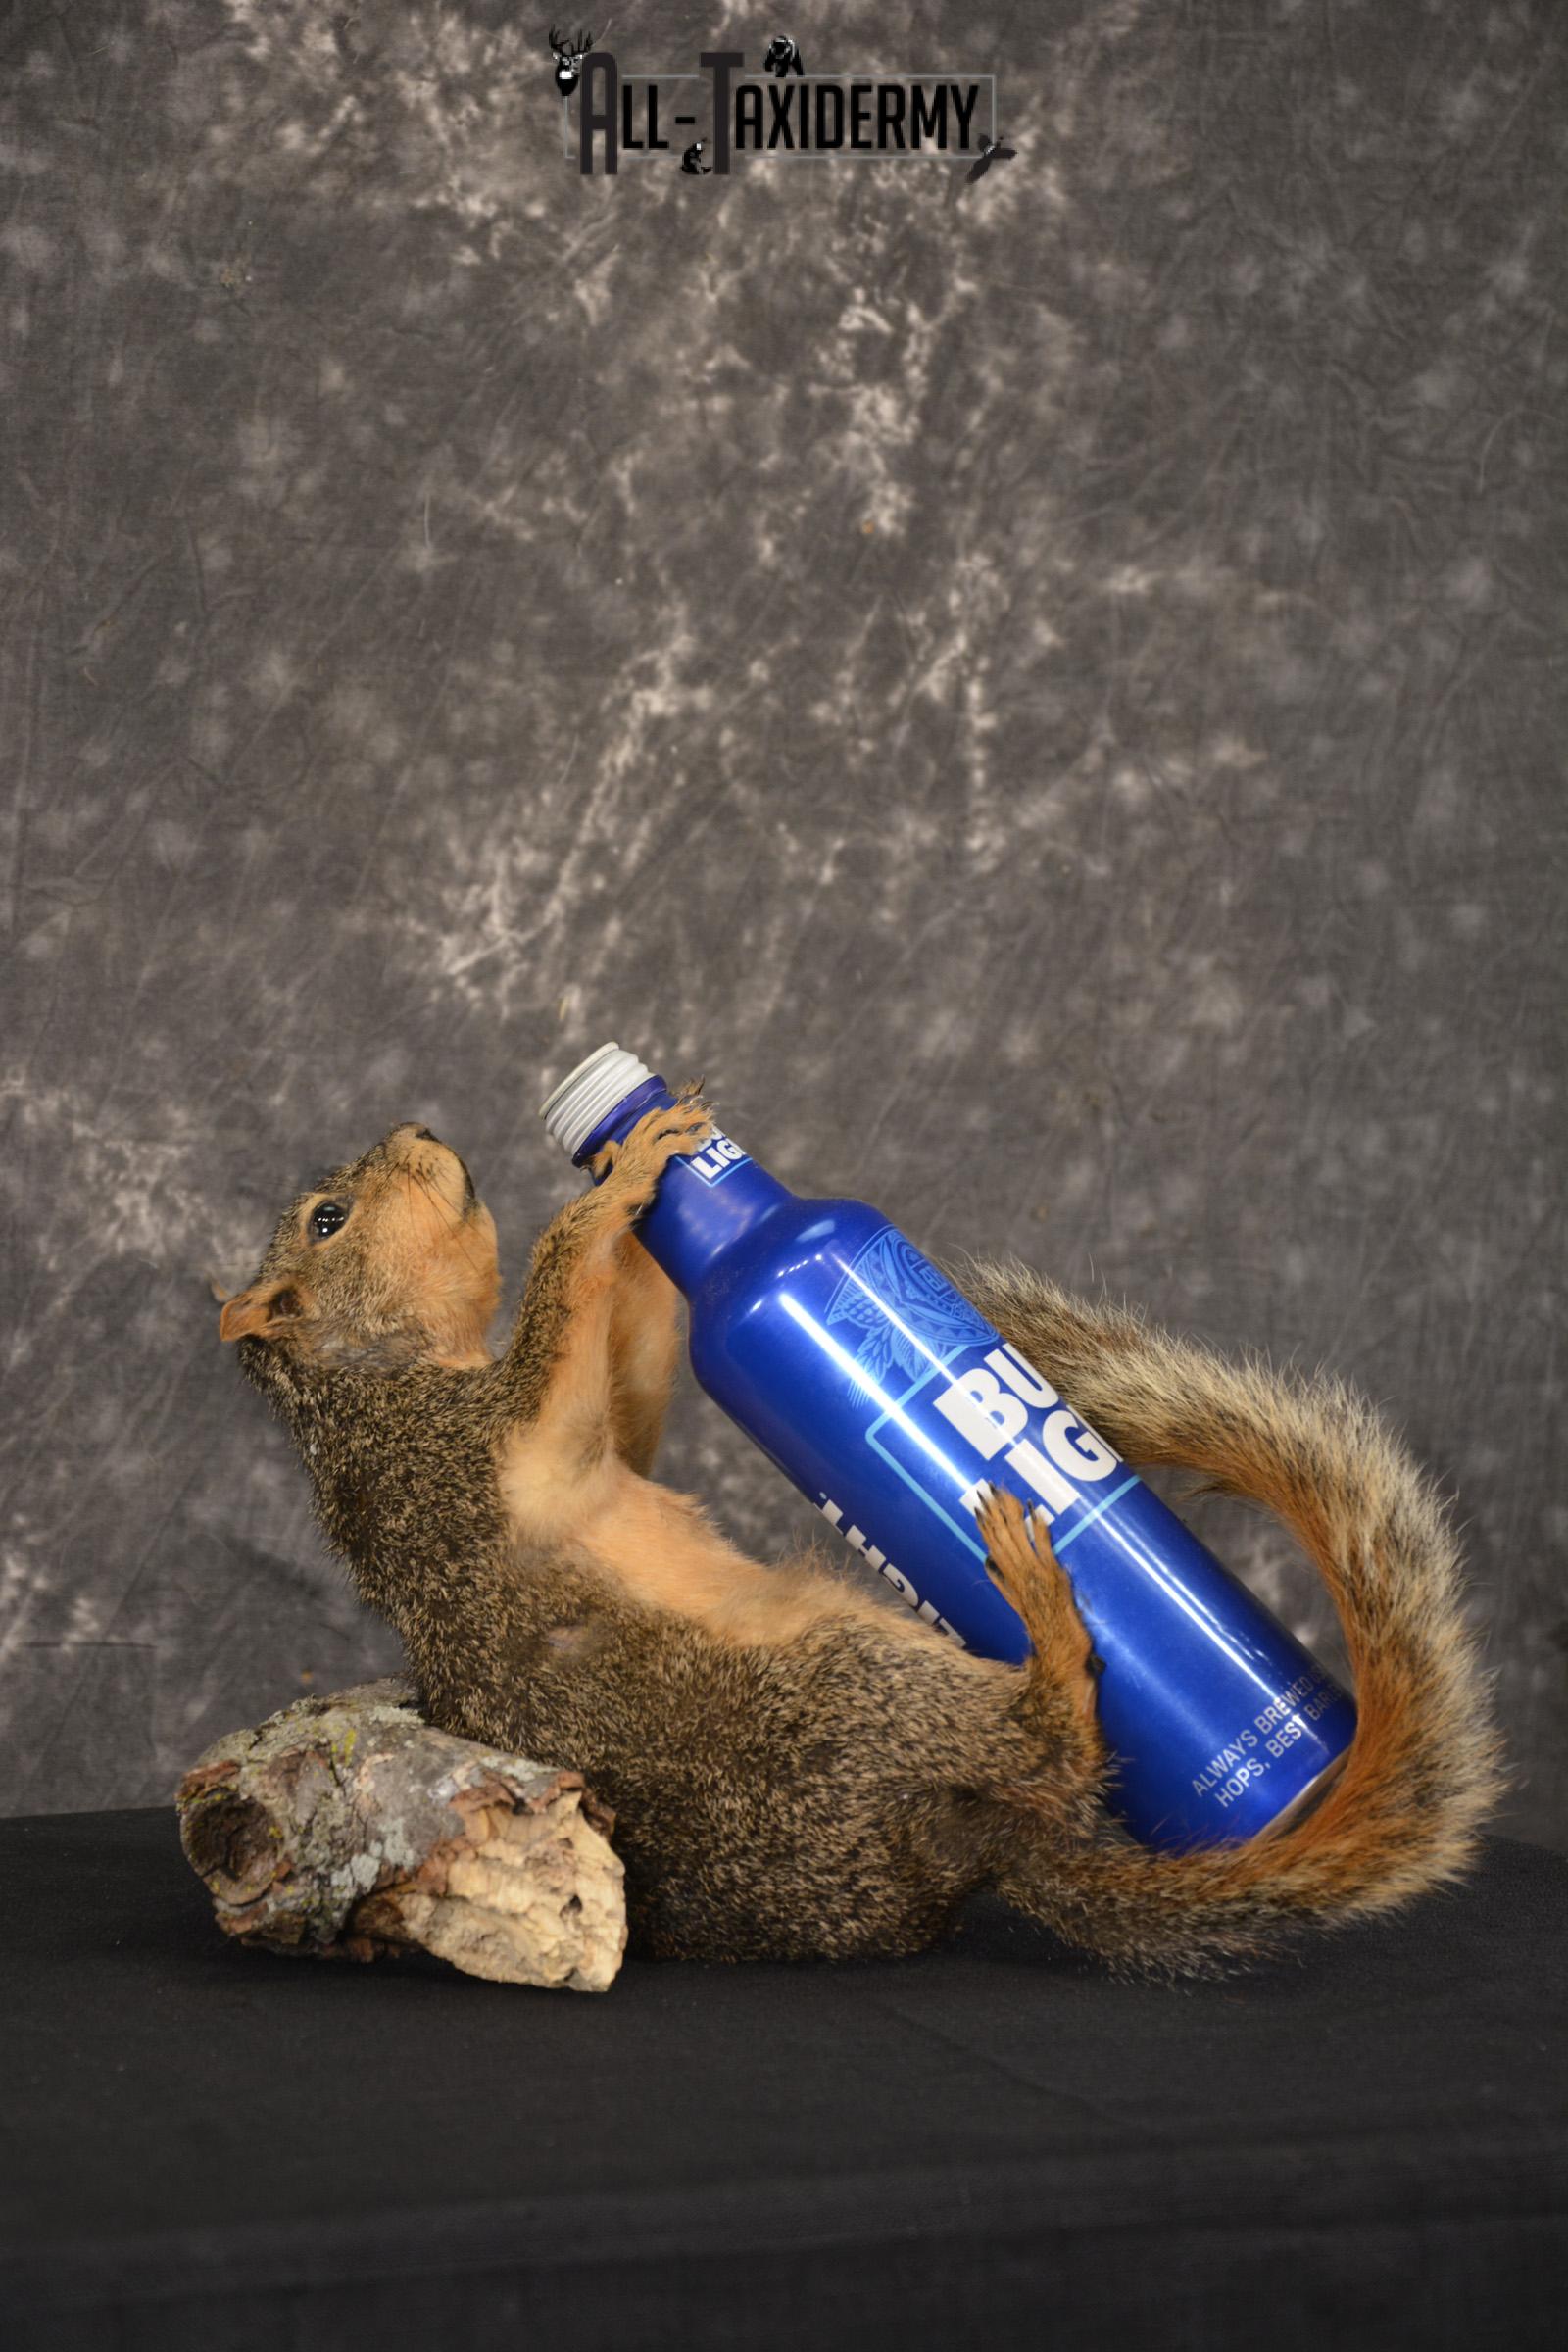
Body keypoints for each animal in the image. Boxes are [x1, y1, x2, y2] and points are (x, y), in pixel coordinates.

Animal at [216, 1100, 1503, 1973]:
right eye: (329, 1219)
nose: (416, 1123)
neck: (373, 1386)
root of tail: (947, 1852)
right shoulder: (470, 1456)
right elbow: (555, 1315)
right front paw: (622, 1178)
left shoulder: (589, 1440)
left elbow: (627, 1380)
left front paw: (655, 1183)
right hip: (850, 1686)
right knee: (1051, 1745)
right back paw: (1036, 1594)